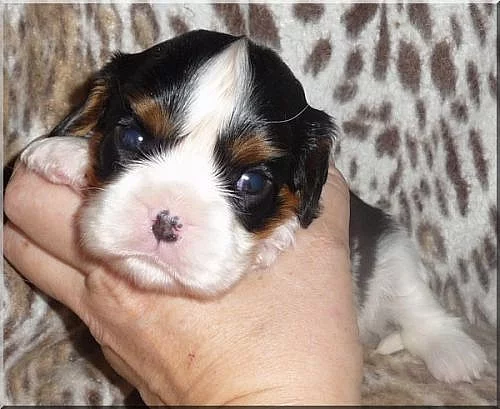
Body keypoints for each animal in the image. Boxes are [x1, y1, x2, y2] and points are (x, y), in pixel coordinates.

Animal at [19, 30, 486, 383]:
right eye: (132, 138)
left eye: (253, 182)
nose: (166, 220)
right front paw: (65, 154)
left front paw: (275, 238)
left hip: (390, 243)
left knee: (415, 304)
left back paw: (455, 354)